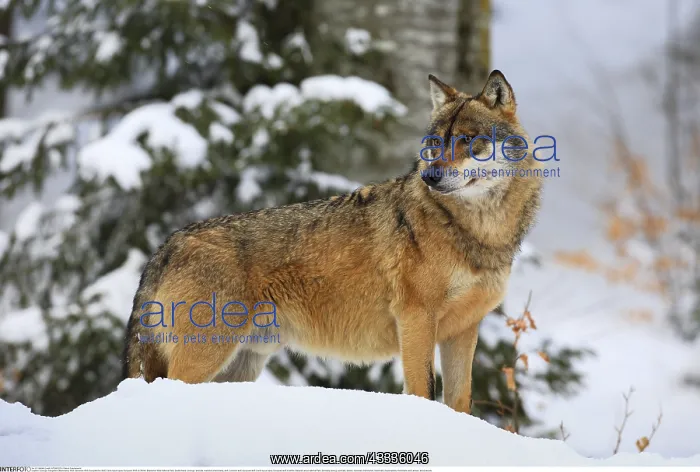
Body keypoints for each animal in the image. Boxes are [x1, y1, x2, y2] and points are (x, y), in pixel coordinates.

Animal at [122, 70, 544, 415]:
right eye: (435, 143)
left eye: (469, 141)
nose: (431, 177)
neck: (477, 232)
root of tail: (168, 244)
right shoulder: (416, 319)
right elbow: (423, 390)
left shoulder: (463, 329)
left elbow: (460, 400)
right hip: (205, 357)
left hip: (242, 365)